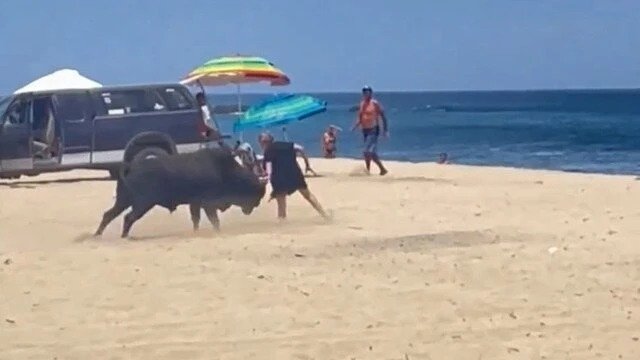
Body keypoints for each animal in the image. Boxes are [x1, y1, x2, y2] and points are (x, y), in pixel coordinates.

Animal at [94, 148, 266, 238]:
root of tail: (131, 166)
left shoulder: (195, 204)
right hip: (142, 204)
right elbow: (214, 220)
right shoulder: (207, 204)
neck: (225, 170)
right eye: (255, 193)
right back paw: (124, 236)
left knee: (109, 214)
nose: (255, 206)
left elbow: (196, 220)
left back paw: (98, 235)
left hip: (123, 201)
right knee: (128, 217)